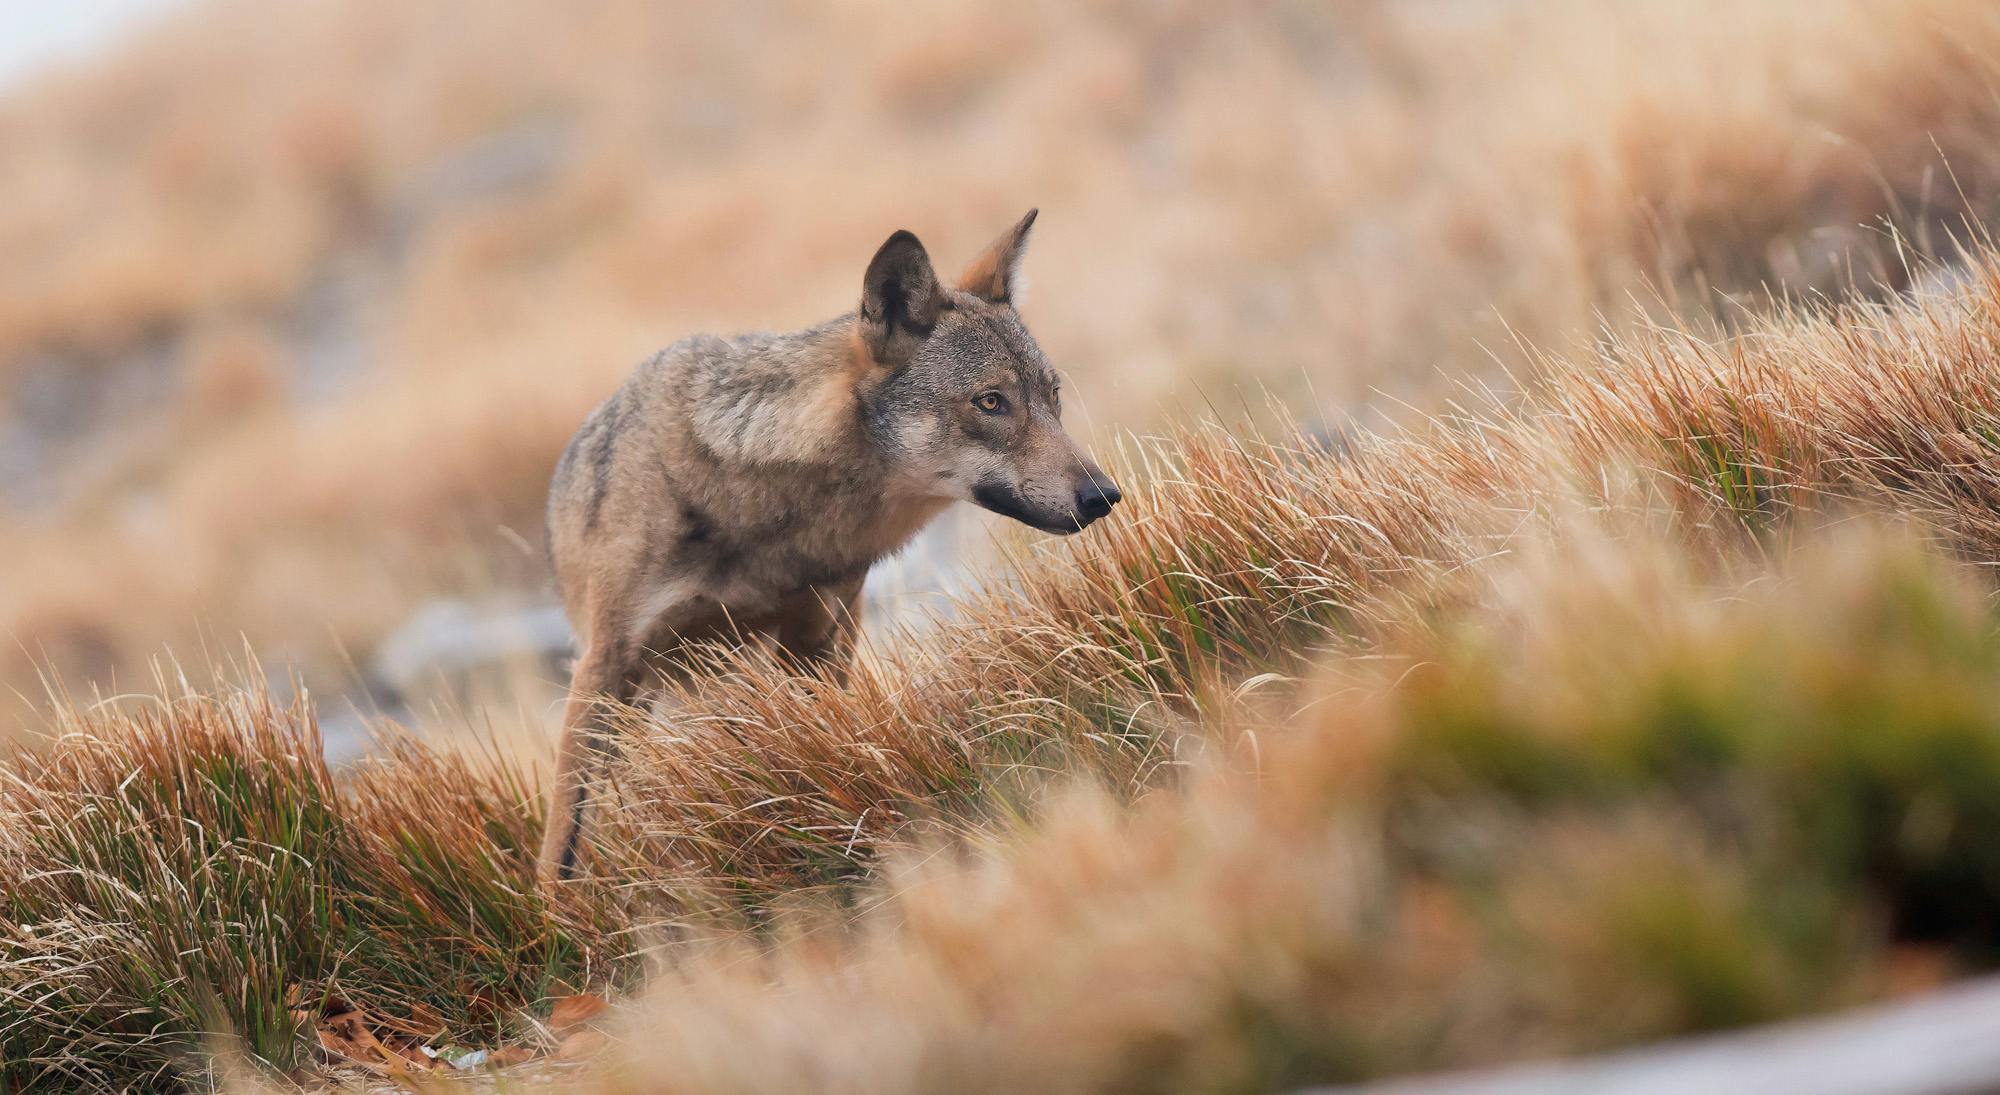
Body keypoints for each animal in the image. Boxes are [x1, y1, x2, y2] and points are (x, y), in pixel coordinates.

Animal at [532, 211, 1128, 879]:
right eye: (991, 402)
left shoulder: (811, 641)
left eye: (1053, 398)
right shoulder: (605, 662)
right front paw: (560, 909)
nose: (1104, 496)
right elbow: (563, 848)